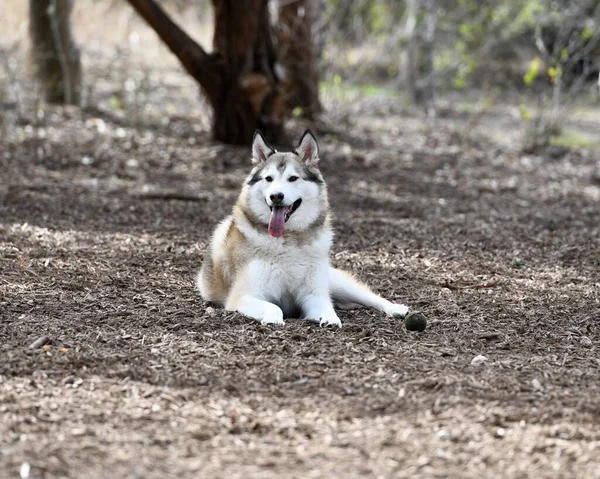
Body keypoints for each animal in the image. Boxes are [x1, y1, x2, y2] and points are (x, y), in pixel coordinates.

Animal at [198, 129, 412, 328]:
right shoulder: (243, 296)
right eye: (269, 179)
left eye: (293, 178)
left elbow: (327, 307)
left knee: (370, 297)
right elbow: (274, 307)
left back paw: (396, 308)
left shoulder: (313, 294)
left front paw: (330, 319)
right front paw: (274, 319)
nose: (276, 196)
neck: (289, 239)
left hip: (337, 283)